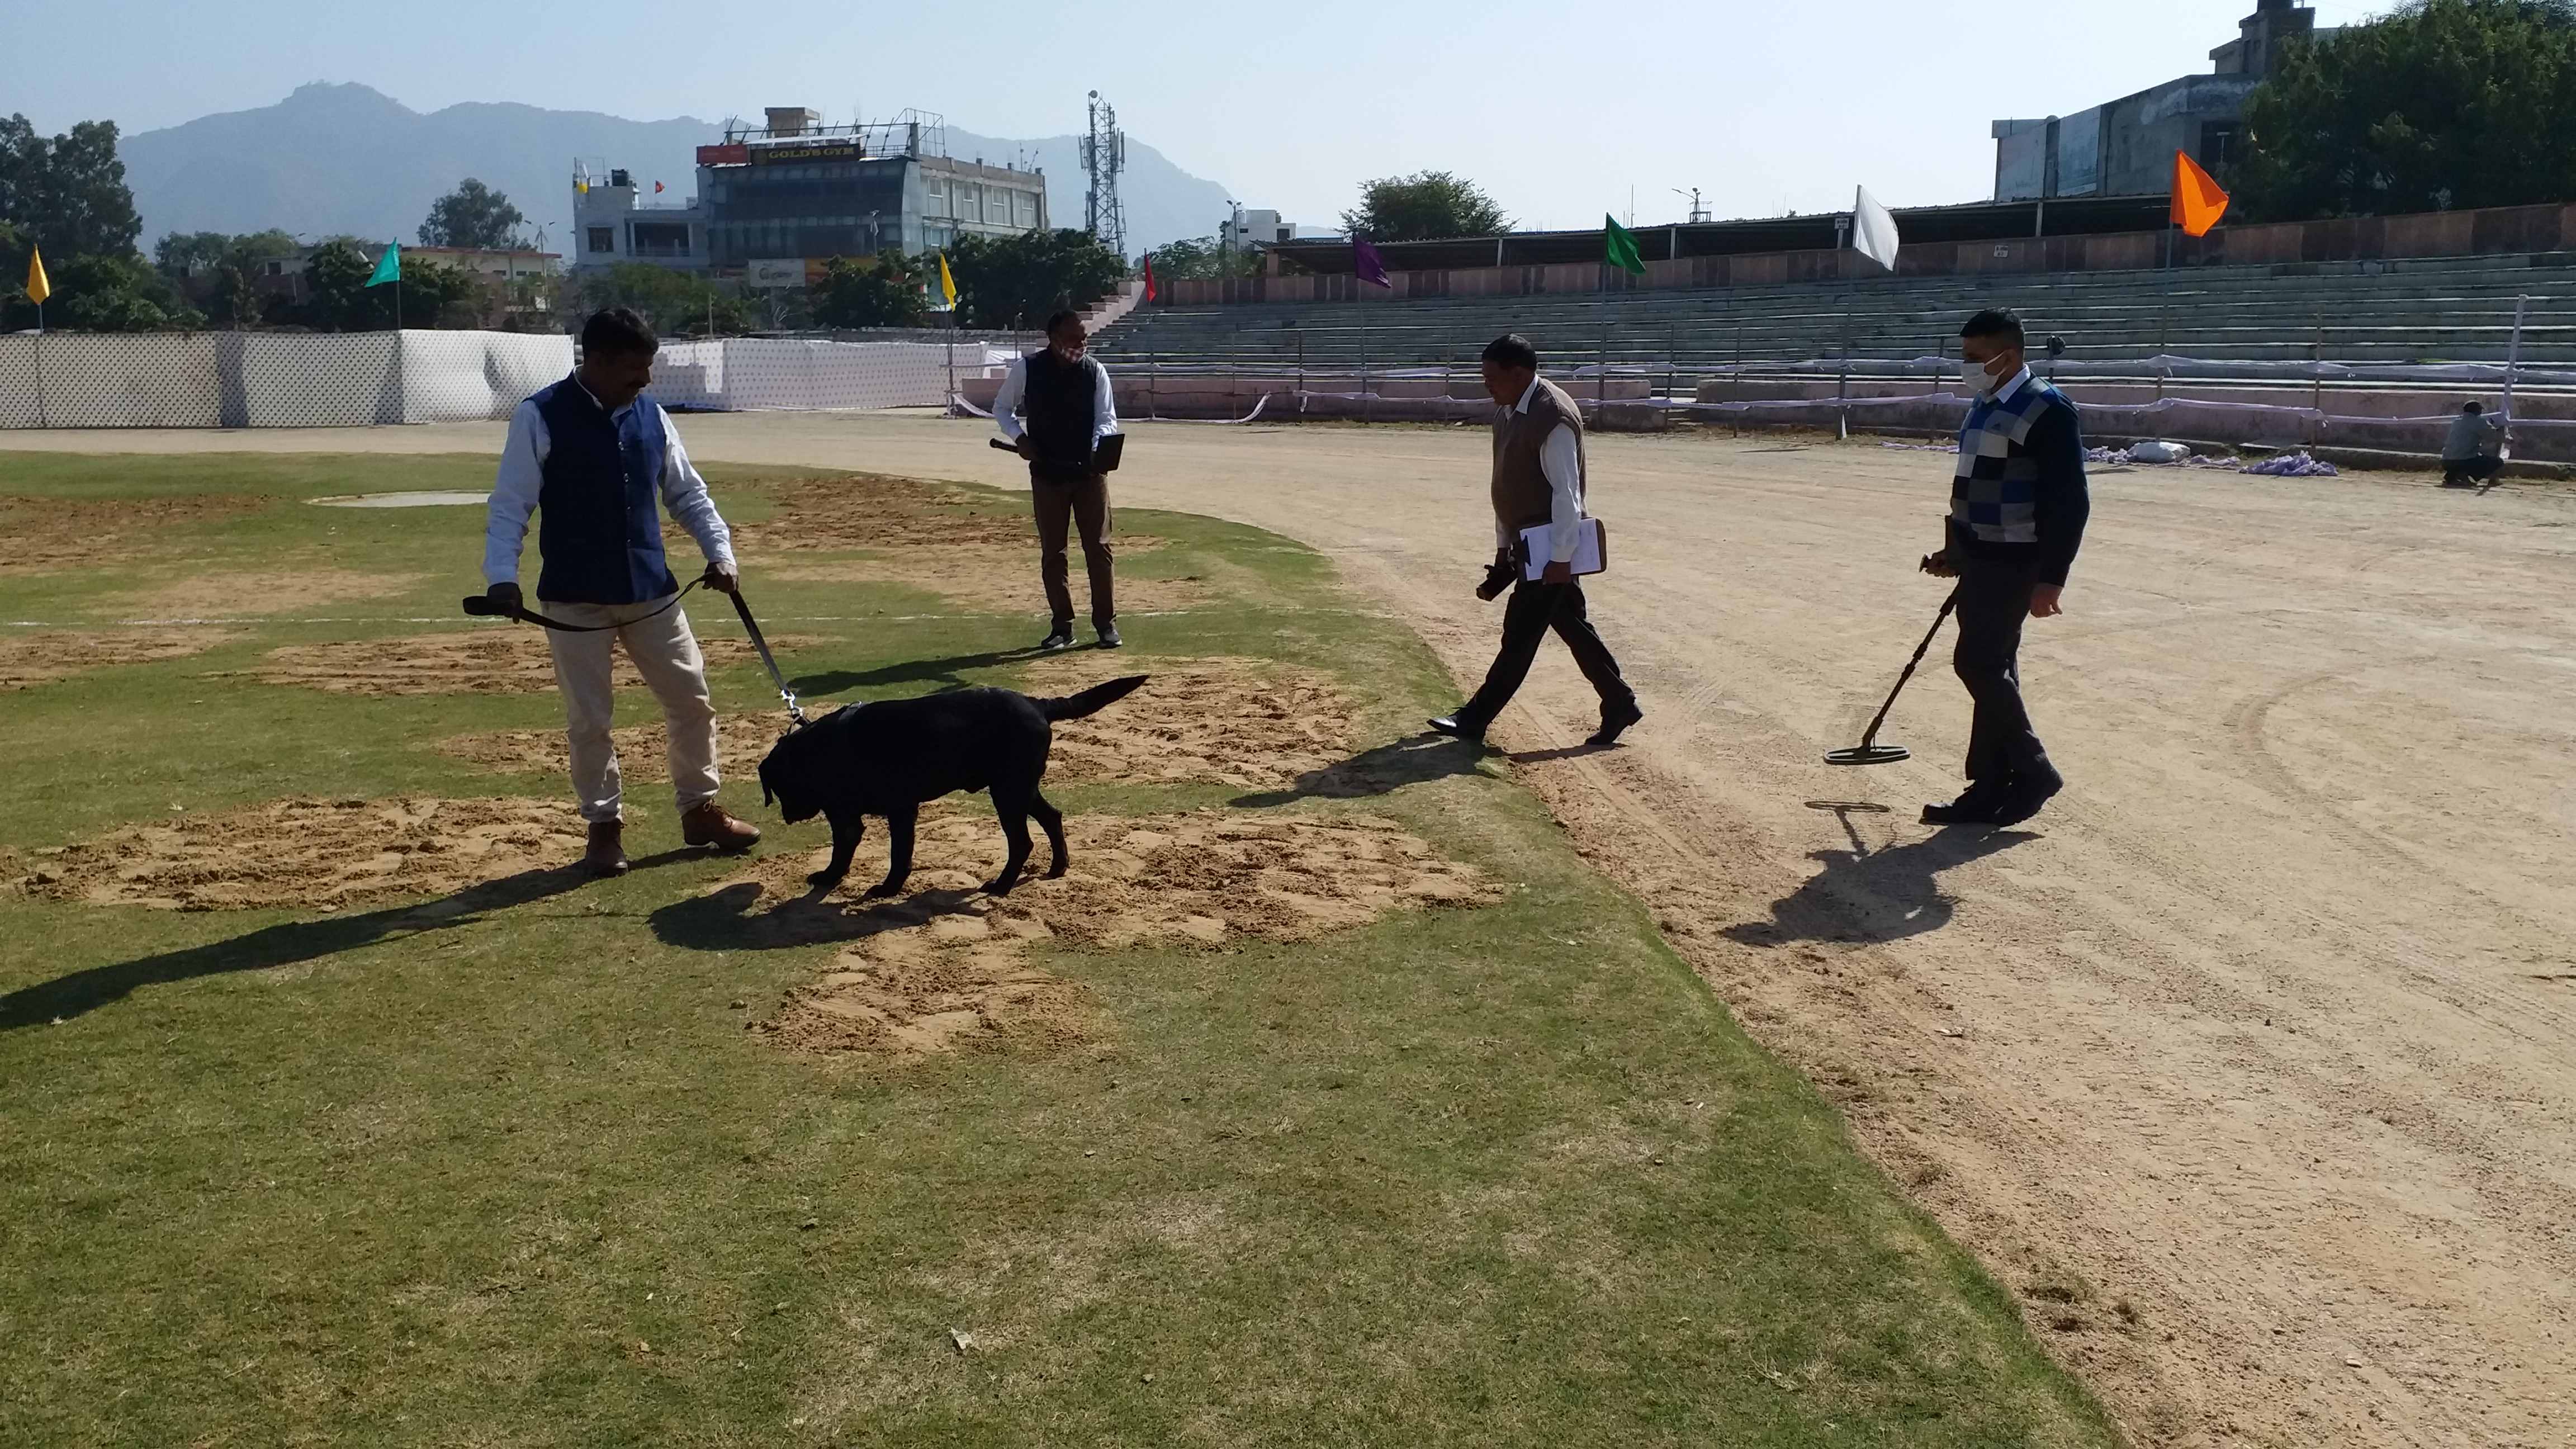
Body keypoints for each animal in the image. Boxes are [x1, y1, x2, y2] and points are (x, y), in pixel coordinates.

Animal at [752, 675, 1143, 892]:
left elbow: (896, 855)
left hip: (1008, 793)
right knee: (1052, 818)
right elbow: (848, 854)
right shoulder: (850, 818)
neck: (822, 751)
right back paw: (1057, 867)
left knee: (1022, 842)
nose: (789, 816)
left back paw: (1001, 887)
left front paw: (886, 889)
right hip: (1020, 788)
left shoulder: (891, 811)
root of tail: (1037, 704)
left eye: (779, 787)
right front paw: (834, 878)